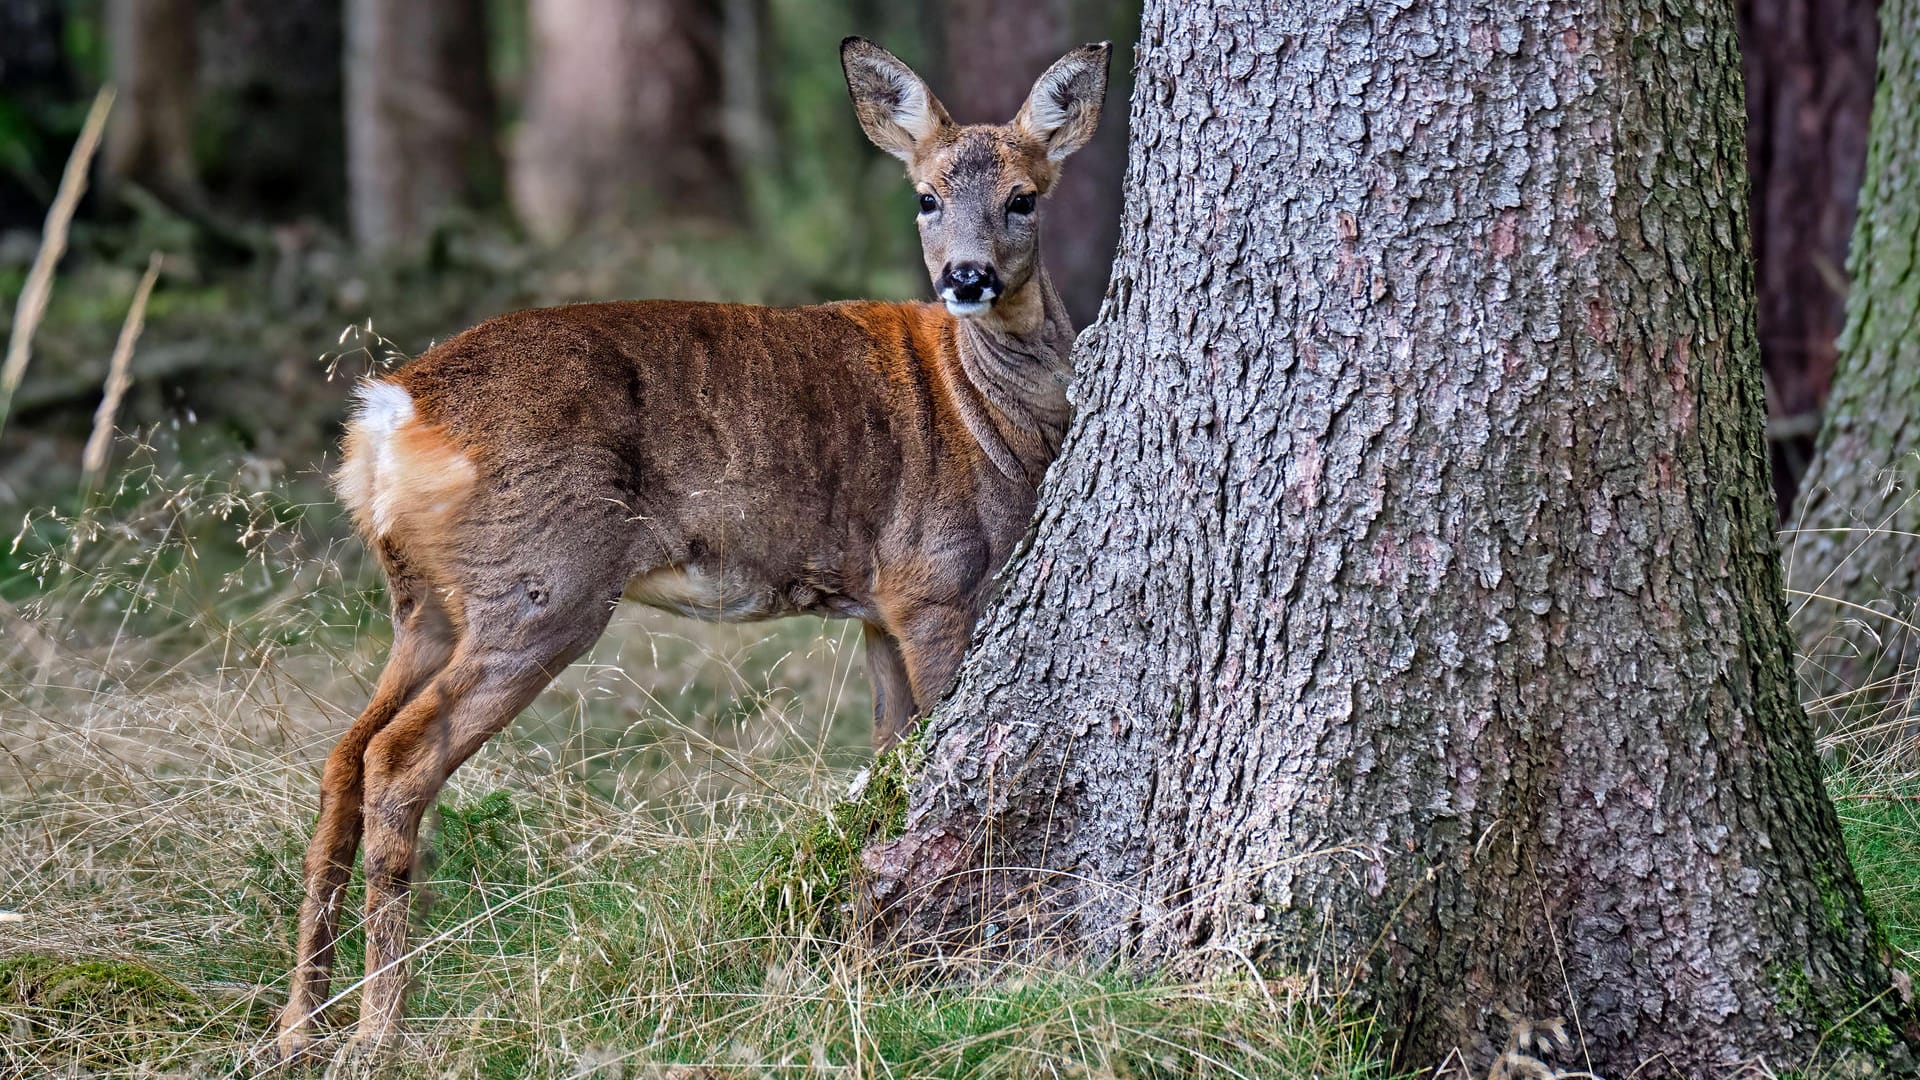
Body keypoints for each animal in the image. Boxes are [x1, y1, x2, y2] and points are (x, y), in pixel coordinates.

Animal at [272, 35, 1113, 1060]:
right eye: (924, 196)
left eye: (1024, 197)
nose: (966, 277)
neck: (989, 418)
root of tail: (390, 413)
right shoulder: (937, 580)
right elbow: (923, 753)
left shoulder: (880, 607)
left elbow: (890, 763)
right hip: (542, 586)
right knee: (396, 760)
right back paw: (378, 1031)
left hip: (425, 603)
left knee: (341, 759)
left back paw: (297, 1028)